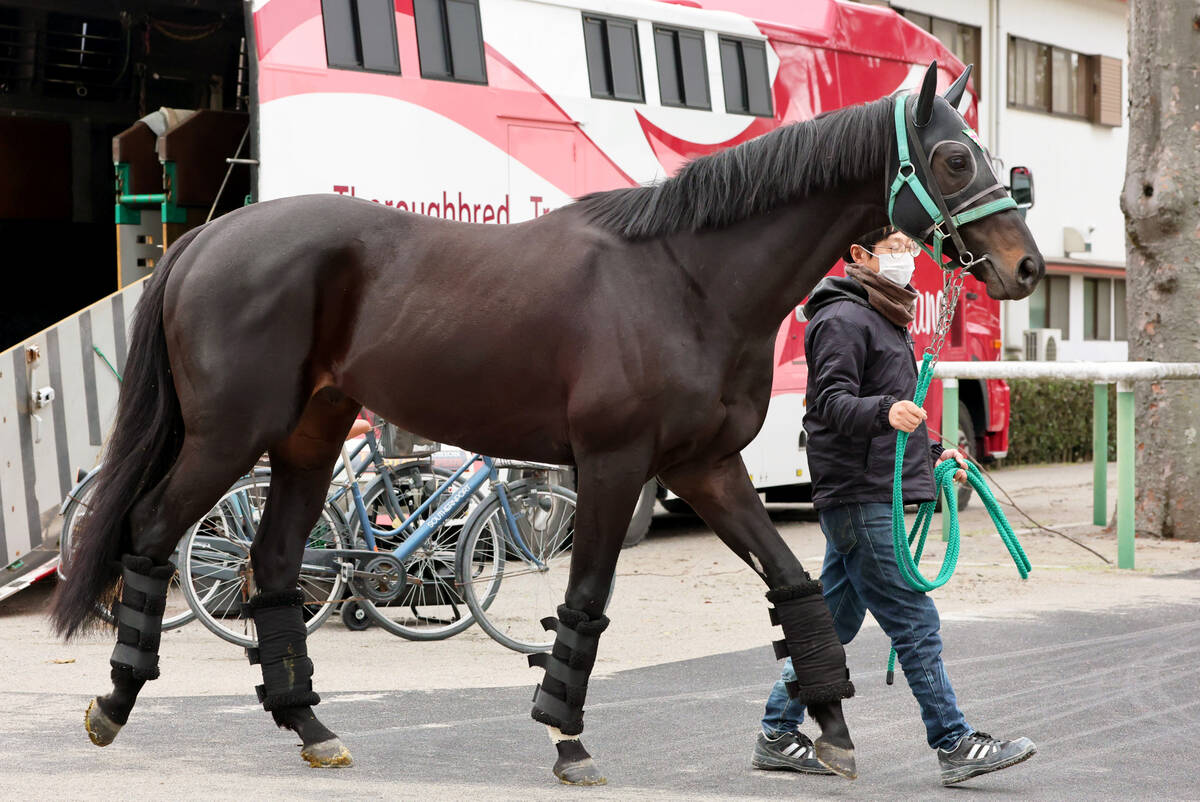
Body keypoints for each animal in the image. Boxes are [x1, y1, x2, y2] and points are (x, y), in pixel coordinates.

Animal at [52, 62, 1042, 784]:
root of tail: (204, 241)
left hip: (308, 437)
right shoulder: (611, 465)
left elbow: (796, 588)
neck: (685, 278)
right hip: (229, 436)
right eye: (955, 160)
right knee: (152, 533)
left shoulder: (707, 468)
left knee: (275, 564)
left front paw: (829, 725)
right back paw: (114, 705)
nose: (1026, 267)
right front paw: (567, 740)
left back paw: (310, 724)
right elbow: (586, 602)